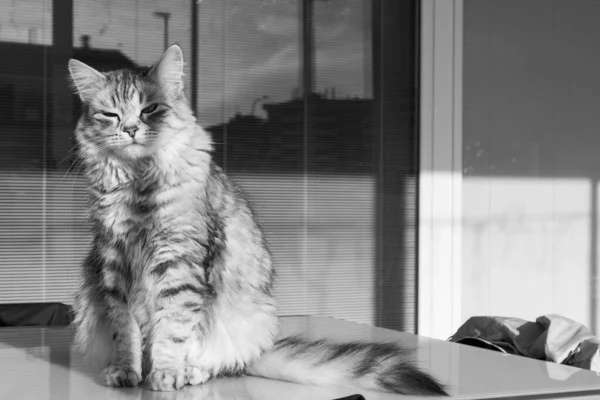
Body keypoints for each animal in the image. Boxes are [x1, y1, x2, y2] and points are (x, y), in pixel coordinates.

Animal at [68, 44, 448, 396]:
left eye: (150, 109)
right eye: (110, 114)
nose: (132, 129)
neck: (138, 184)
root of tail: (261, 349)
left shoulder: (178, 259)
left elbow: (172, 329)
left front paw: (165, 375)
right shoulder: (112, 262)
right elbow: (125, 331)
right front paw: (126, 371)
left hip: (250, 319)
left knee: (222, 362)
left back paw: (192, 372)